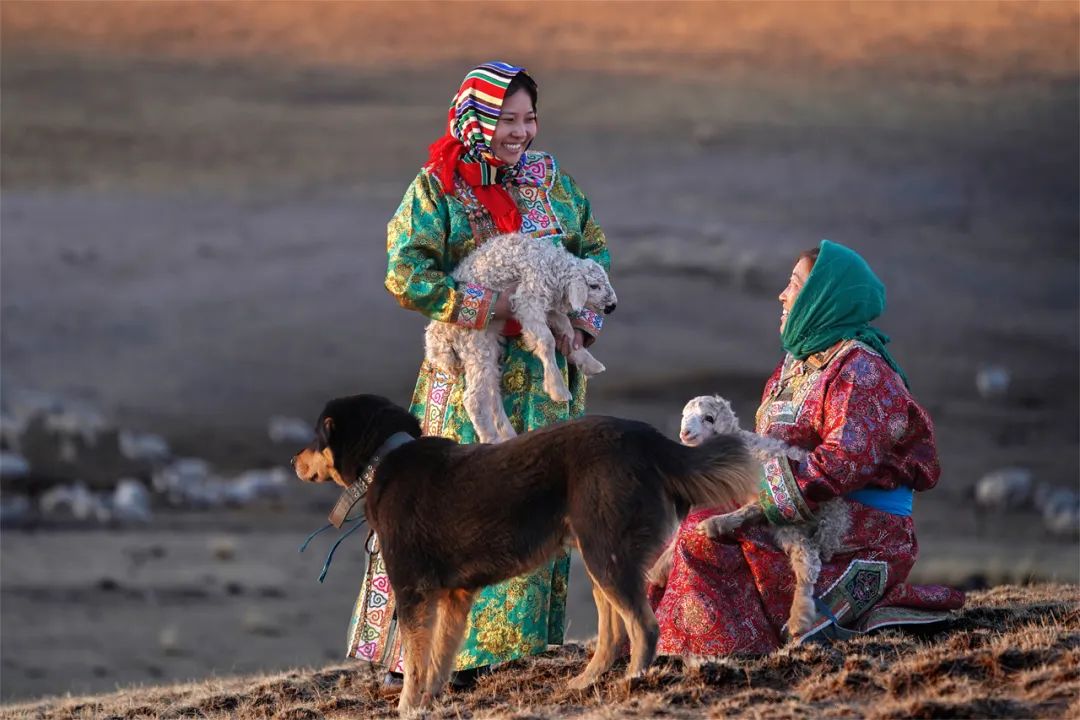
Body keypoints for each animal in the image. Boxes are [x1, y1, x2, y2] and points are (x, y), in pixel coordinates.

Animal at [291, 395, 756, 716]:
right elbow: (441, 656)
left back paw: (633, 685)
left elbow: (417, 659)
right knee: (613, 631)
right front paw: (432, 702)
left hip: (606, 554)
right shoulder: (456, 595)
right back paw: (586, 682)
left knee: (644, 627)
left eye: (316, 436)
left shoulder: (413, 591)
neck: (384, 458)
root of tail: (651, 441)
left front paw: (407, 707)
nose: (294, 458)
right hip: (600, 554)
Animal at [425, 234, 622, 444]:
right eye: (594, 286)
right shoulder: (527, 299)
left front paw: (587, 361)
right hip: (474, 342)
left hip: (487, 345)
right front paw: (557, 387)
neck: (551, 266)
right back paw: (491, 439)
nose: (612, 306)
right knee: (474, 399)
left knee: (492, 391)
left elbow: (565, 328)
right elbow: (546, 341)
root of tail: (437, 340)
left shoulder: (548, 307)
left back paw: (507, 435)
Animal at [648, 397, 851, 639]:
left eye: (709, 418)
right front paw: (659, 567)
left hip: (790, 516)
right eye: (684, 415)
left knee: (806, 561)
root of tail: (836, 514)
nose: (685, 432)